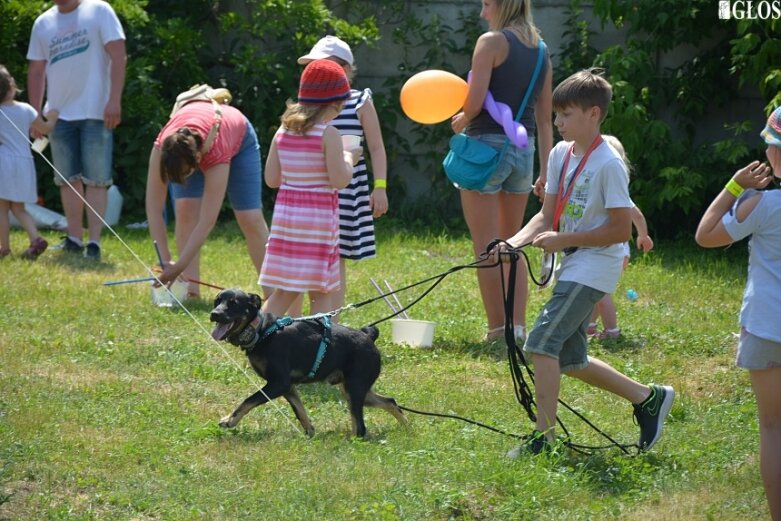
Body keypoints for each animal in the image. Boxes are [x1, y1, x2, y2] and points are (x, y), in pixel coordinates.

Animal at [209, 286, 402, 436]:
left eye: (234, 303)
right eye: (217, 301)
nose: (214, 314)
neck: (261, 331)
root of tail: (368, 337)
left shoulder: (278, 383)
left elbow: (249, 400)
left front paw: (230, 420)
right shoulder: (288, 387)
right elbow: (300, 411)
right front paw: (310, 432)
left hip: (354, 389)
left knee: (361, 427)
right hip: (357, 389)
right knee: (391, 402)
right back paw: (405, 428)